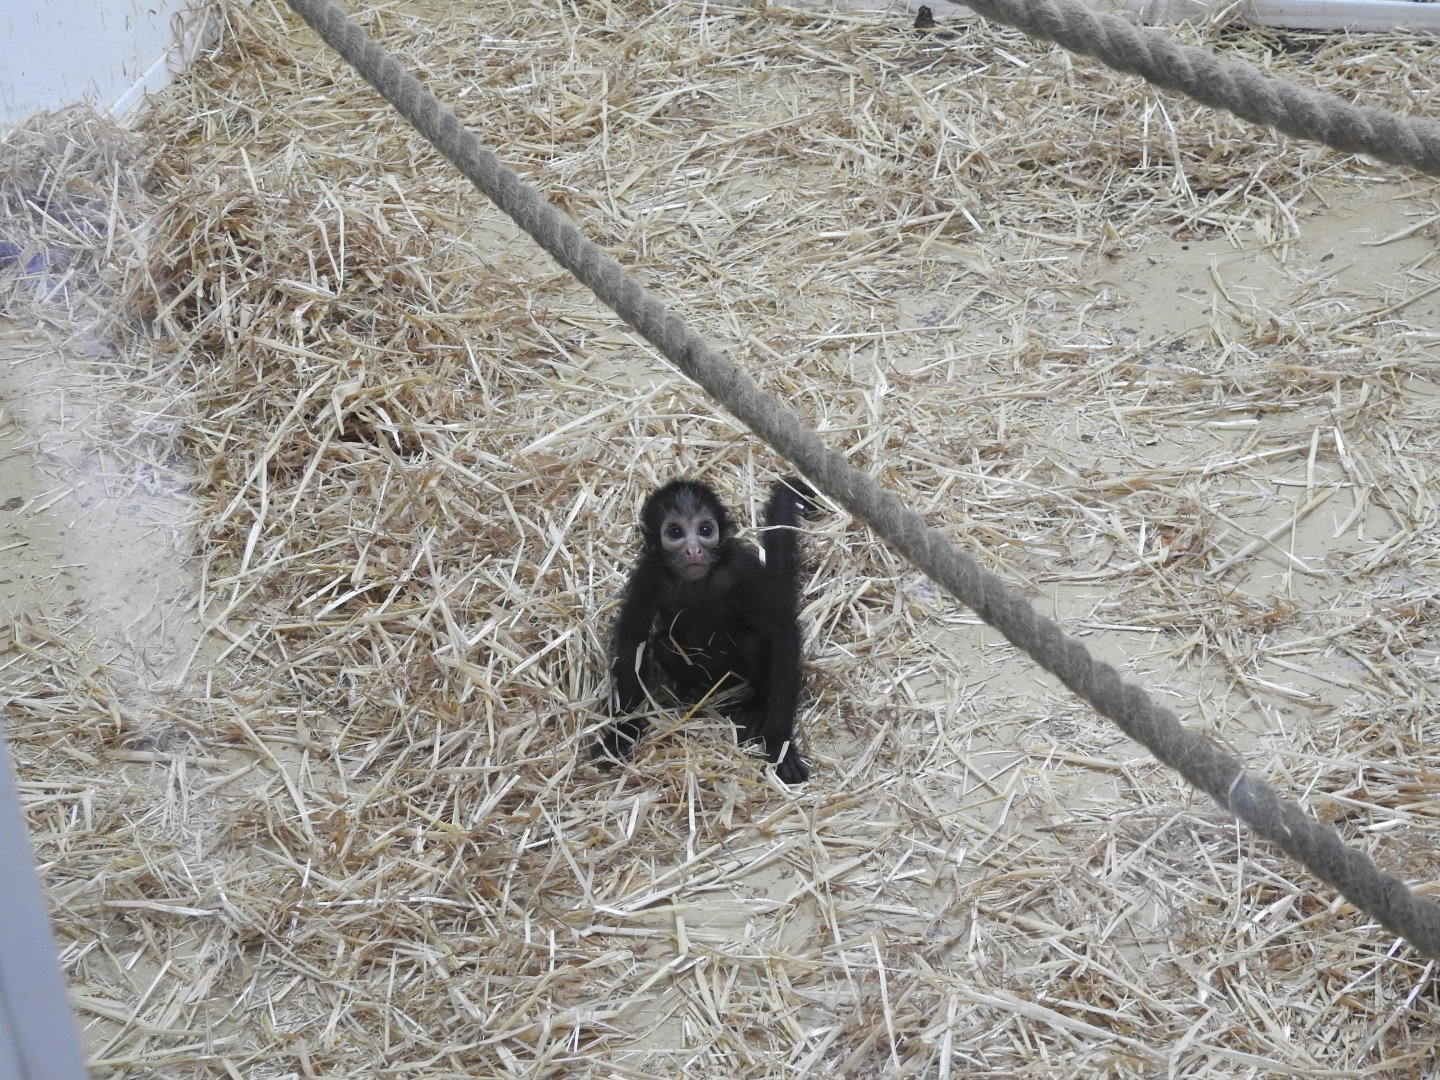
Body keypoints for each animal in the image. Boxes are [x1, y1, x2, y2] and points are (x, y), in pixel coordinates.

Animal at [598, 477, 815, 784]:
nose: (693, 550)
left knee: (751, 641)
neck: (697, 584)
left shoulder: (740, 566)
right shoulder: (649, 574)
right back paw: (691, 690)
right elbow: (633, 640)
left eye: (704, 530)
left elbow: (784, 637)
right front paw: (623, 733)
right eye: (675, 532)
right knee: (664, 643)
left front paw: (780, 745)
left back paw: (757, 707)